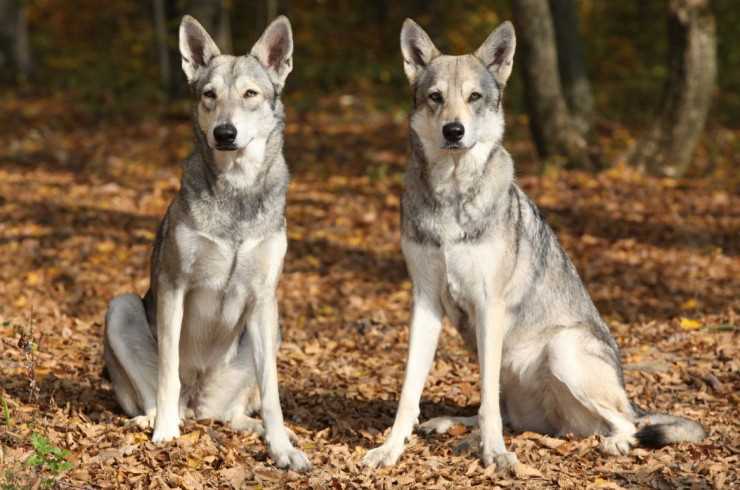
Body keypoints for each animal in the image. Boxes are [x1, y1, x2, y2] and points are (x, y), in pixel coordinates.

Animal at [102, 15, 310, 468]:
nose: (225, 133)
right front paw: (164, 433)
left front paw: (282, 448)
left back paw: (258, 428)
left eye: (250, 94)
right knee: (162, 397)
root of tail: (200, 403)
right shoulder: (174, 286)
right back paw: (155, 419)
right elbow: (167, 375)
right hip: (121, 306)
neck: (236, 190)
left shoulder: (264, 297)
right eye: (209, 95)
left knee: (232, 412)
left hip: (272, 330)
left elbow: (272, 392)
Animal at [364, 18, 704, 470]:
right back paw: (451, 426)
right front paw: (390, 449)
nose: (454, 131)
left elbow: (487, 405)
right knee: (503, 411)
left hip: (562, 350)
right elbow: (410, 392)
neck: (451, 197)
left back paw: (614, 443)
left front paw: (495, 455)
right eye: (435, 97)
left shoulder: (489, 305)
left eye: (474, 97)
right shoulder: (425, 303)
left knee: (627, 424)